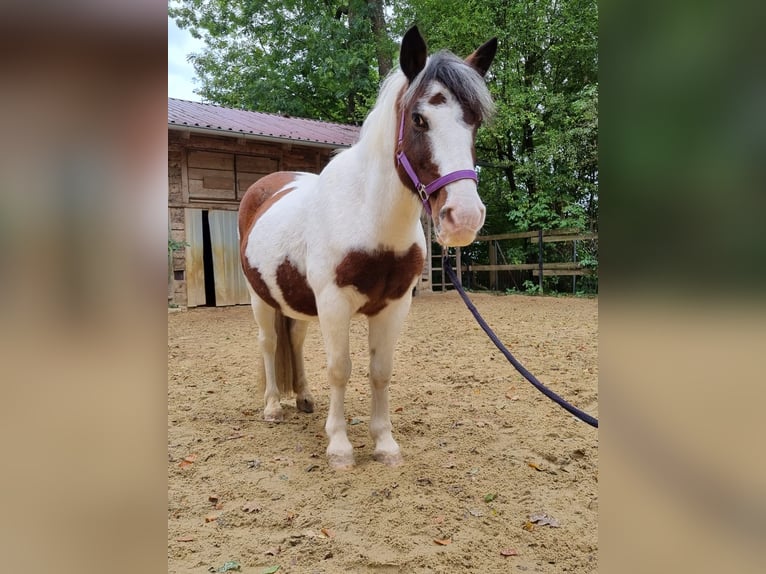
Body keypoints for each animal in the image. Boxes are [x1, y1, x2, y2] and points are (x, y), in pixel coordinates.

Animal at [237, 24, 498, 470]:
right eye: (418, 118)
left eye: (474, 122)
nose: (463, 217)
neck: (369, 217)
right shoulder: (334, 303)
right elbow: (340, 369)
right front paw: (340, 446)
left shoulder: (394, 305)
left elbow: (380, 371)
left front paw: (384, 444)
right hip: (261, 299)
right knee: (269, 344)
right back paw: (272, 407)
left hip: (297, 302)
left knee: (295, 340)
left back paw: (303, 399)